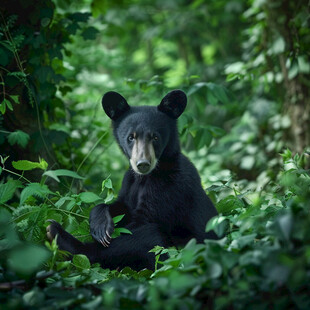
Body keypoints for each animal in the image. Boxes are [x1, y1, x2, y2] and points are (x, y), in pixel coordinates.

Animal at [47, 88, 219, 270]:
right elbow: (122, 206)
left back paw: (58, 235)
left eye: (155, 137)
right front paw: (100, 225)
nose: (142, 164)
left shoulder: (171, 186)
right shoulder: (129, 182)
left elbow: (142, 222)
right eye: (131, 137)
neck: (146, 177)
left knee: (148, 236)